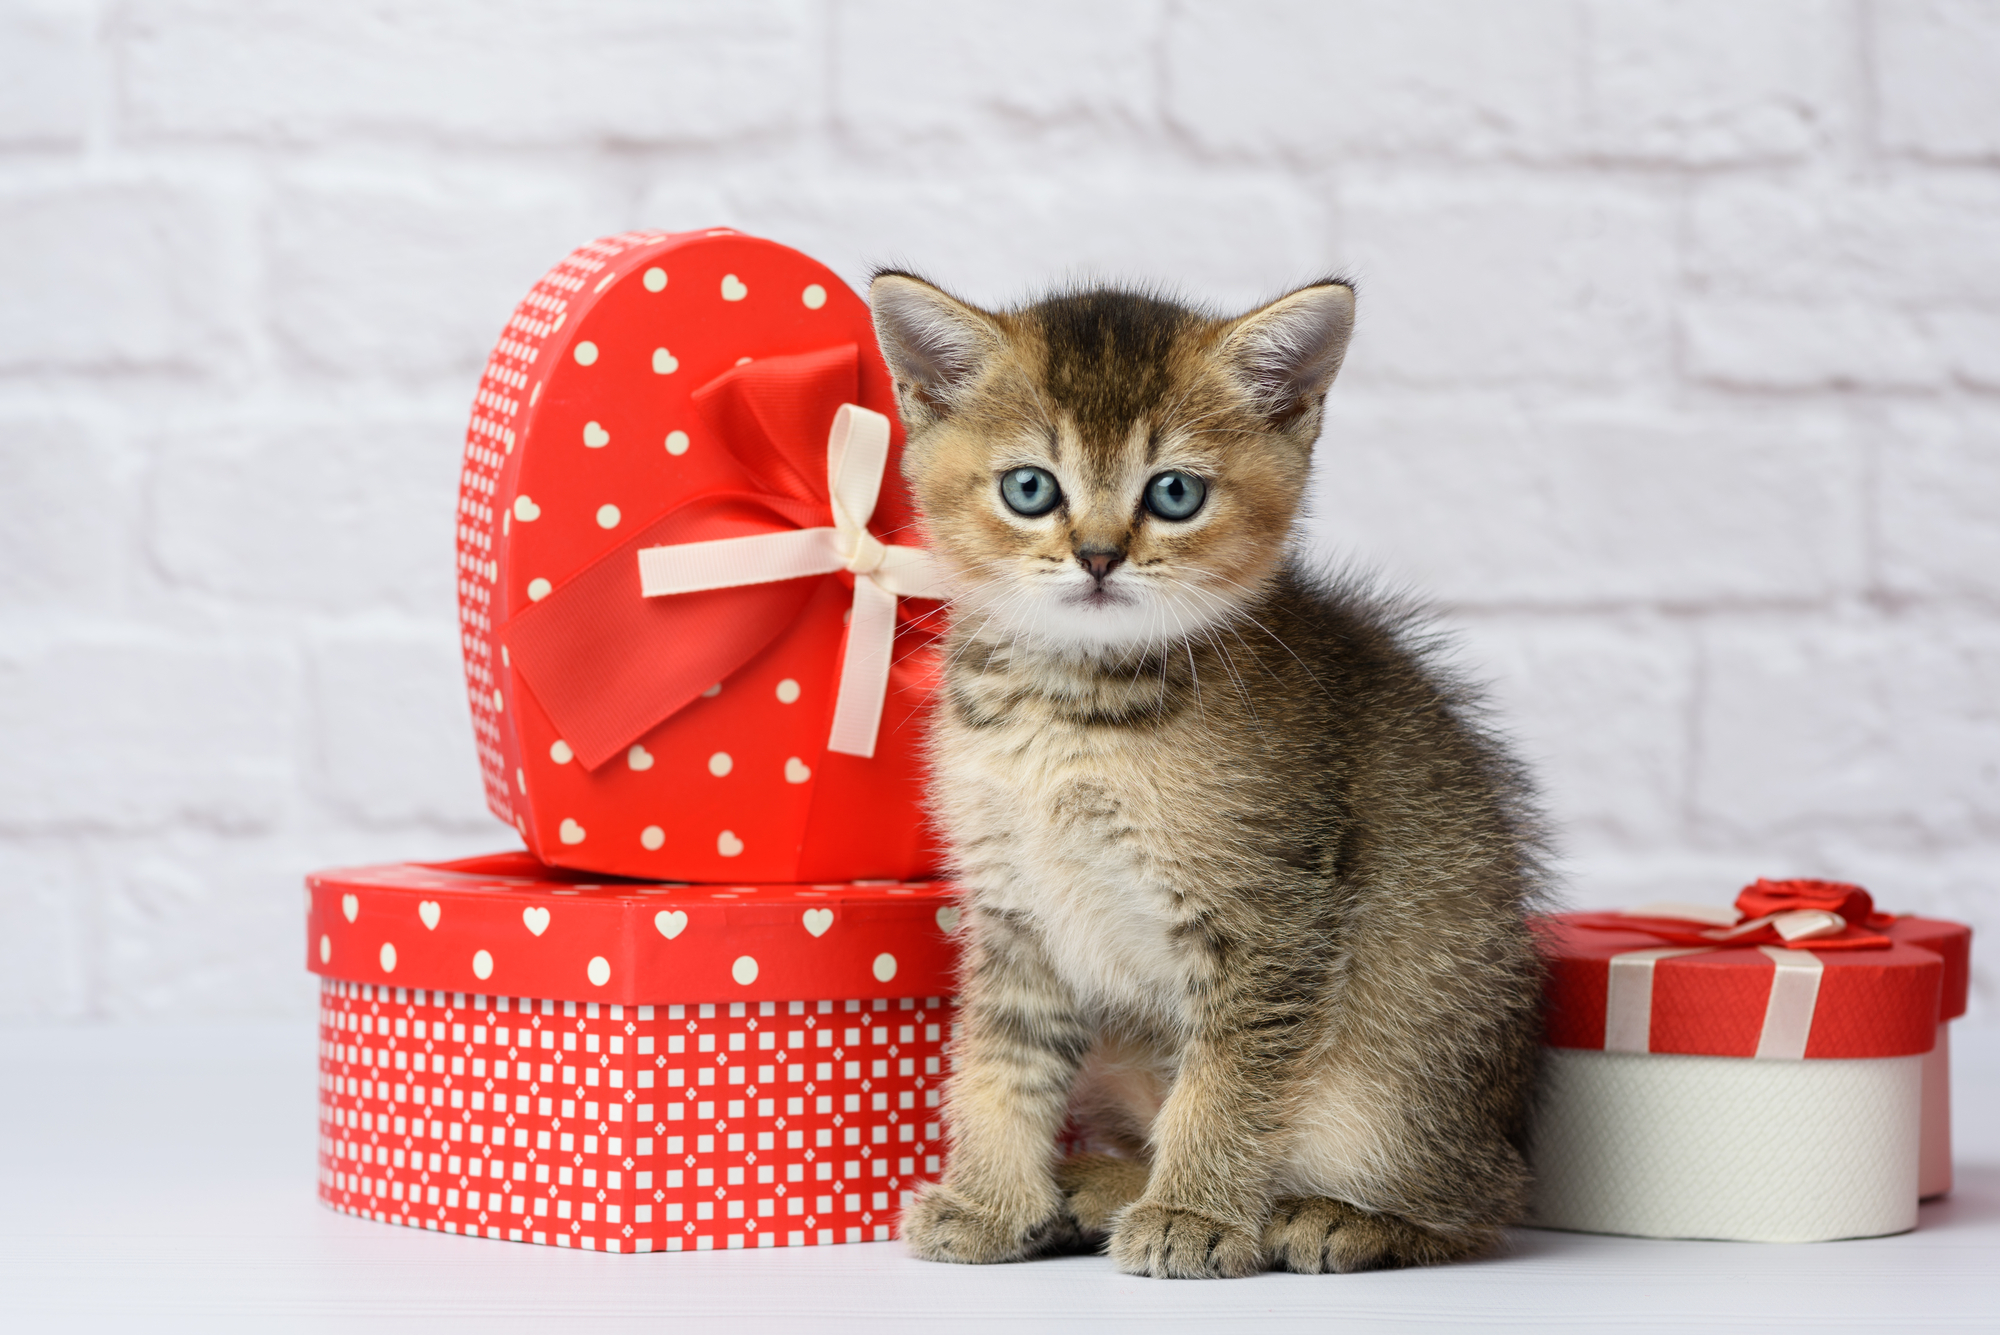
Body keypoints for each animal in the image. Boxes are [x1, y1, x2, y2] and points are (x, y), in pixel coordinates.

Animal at [872, 273, 1544, 1279]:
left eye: (1175, 492)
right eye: (1030, 487)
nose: (1099, 554)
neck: (1073, 708)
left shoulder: (1273, 910)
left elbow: (1227, 1080)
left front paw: (1194, 1213)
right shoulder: (1013, 911)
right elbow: (1001, 1062)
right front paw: (989, 1202)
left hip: (1392, 1085)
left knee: (1487, 1202)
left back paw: (1335, 1217)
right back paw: (1102, 1183)